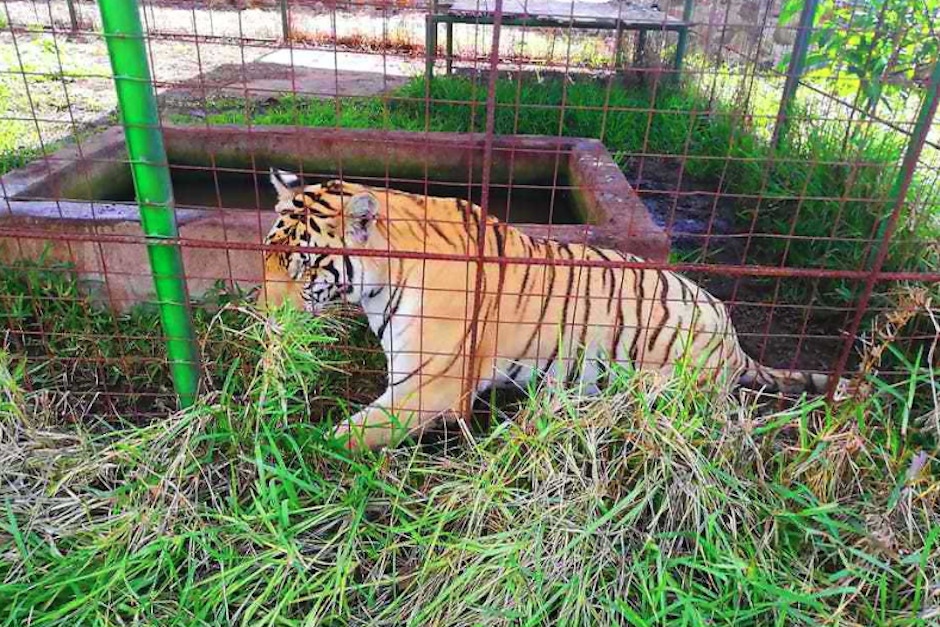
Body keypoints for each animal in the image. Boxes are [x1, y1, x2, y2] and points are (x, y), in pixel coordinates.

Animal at [258, 169, 852, 451]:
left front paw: (289, 447)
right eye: (267, 252)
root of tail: (736, 341)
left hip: (663, 370)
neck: (382, 281)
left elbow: (348, 434)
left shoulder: (431, 385)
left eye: (304, 268)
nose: (260, 314)